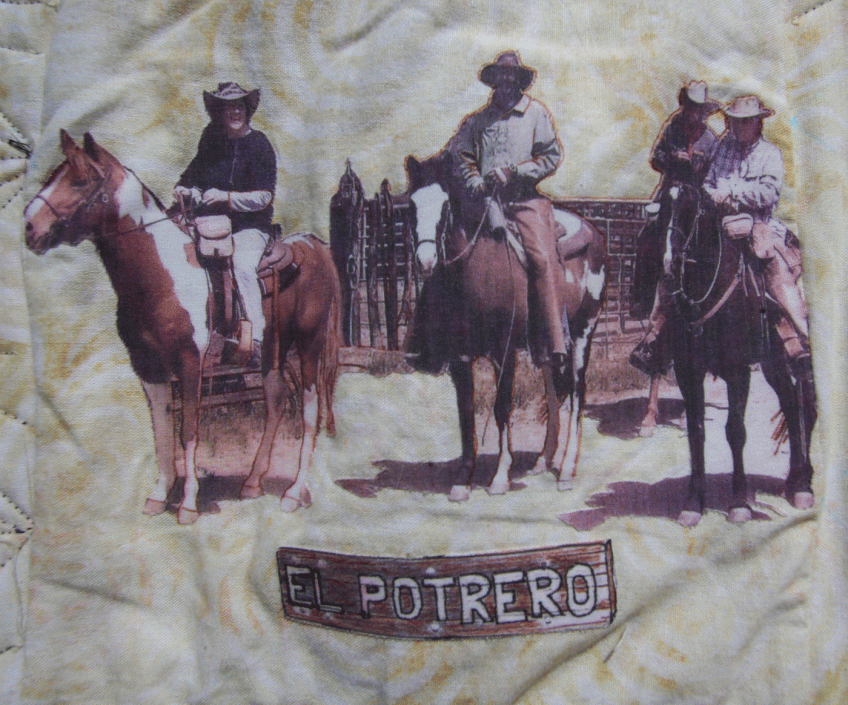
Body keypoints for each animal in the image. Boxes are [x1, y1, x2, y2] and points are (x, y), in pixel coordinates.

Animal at [24, 131, 341, 523]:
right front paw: (158, 496)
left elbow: (188, 431)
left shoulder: (191, 365)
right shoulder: (148, 368)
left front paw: (188, 503)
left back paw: (294, 493)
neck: (161, 275)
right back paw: (252, 482)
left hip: (309, 344)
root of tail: (316, 246)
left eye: (79, 180)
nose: (29, 227)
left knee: (310, 410)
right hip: (272, 352)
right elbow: (162, 432)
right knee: (277, 402)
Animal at [404, 152, 608, 500]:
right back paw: (543, 459)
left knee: (577, 392)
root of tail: (593, 232)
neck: (474, 269)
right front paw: (463, 480)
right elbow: (466, 414)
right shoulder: (459, 357)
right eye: (412, 204)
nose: (425, 260)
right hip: (548, 342)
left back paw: (567, 469)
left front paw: (500, 477)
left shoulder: (505, 351)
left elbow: (501, 408)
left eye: (445, 206)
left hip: (584, 332)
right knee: (553, 390)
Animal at [661, 182, 816, 526]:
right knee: (791, 404)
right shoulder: (687, 371)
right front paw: (693, 504)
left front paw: (739, 504)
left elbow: (735, 431)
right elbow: (696, 432)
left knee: (808, 409)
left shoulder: (738, 369)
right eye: (662, 208)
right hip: (774, 362)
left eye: (692, 211)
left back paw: (804, 485)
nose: (669, 264)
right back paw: (794, 482)